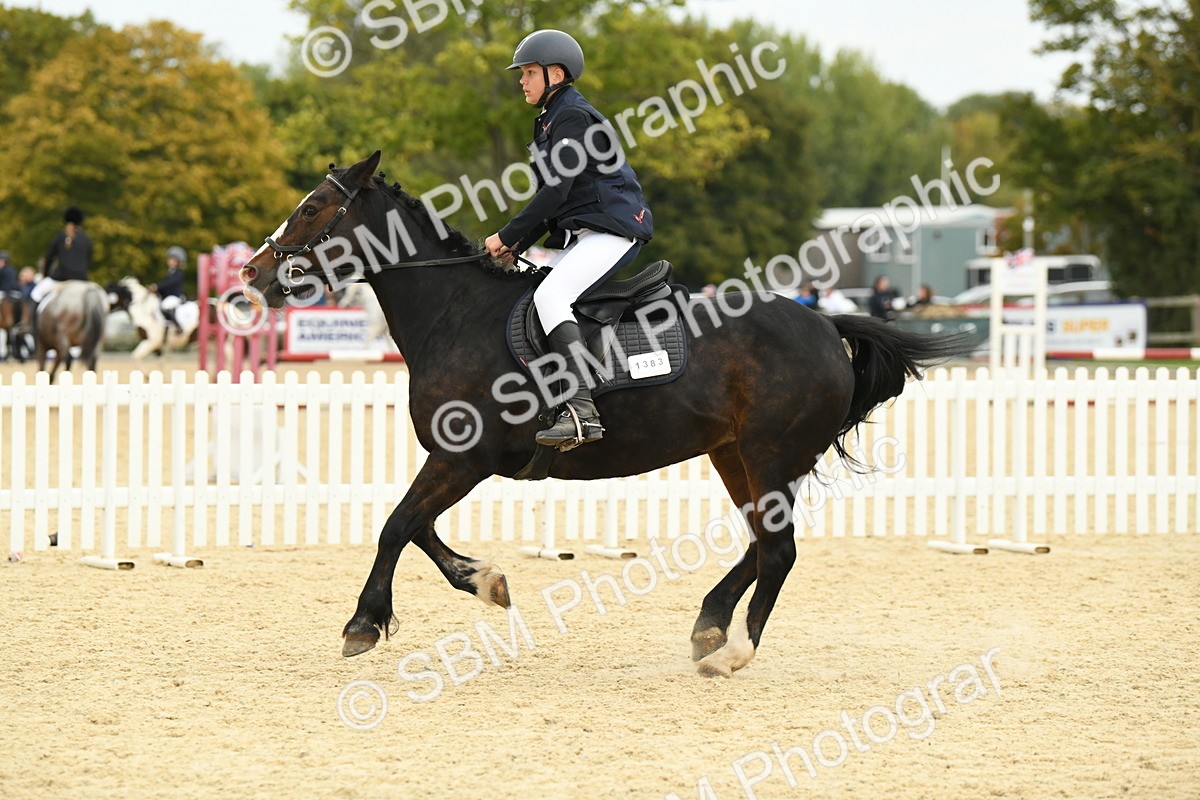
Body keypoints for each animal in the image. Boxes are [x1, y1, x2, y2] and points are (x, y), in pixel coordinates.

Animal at [240, 151, 965, 676]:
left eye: (312, 207)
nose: (250, 273)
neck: (455, 311)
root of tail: (823, 324)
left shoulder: (463, 458)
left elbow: (396, 526)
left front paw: (363, 624)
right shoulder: (456, 461)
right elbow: (417, 529)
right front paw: (487, 582)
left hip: (769, 453)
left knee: (779, 550)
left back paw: (733, 652)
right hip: (734, 455)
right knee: (761, 543)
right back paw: (709, 625)